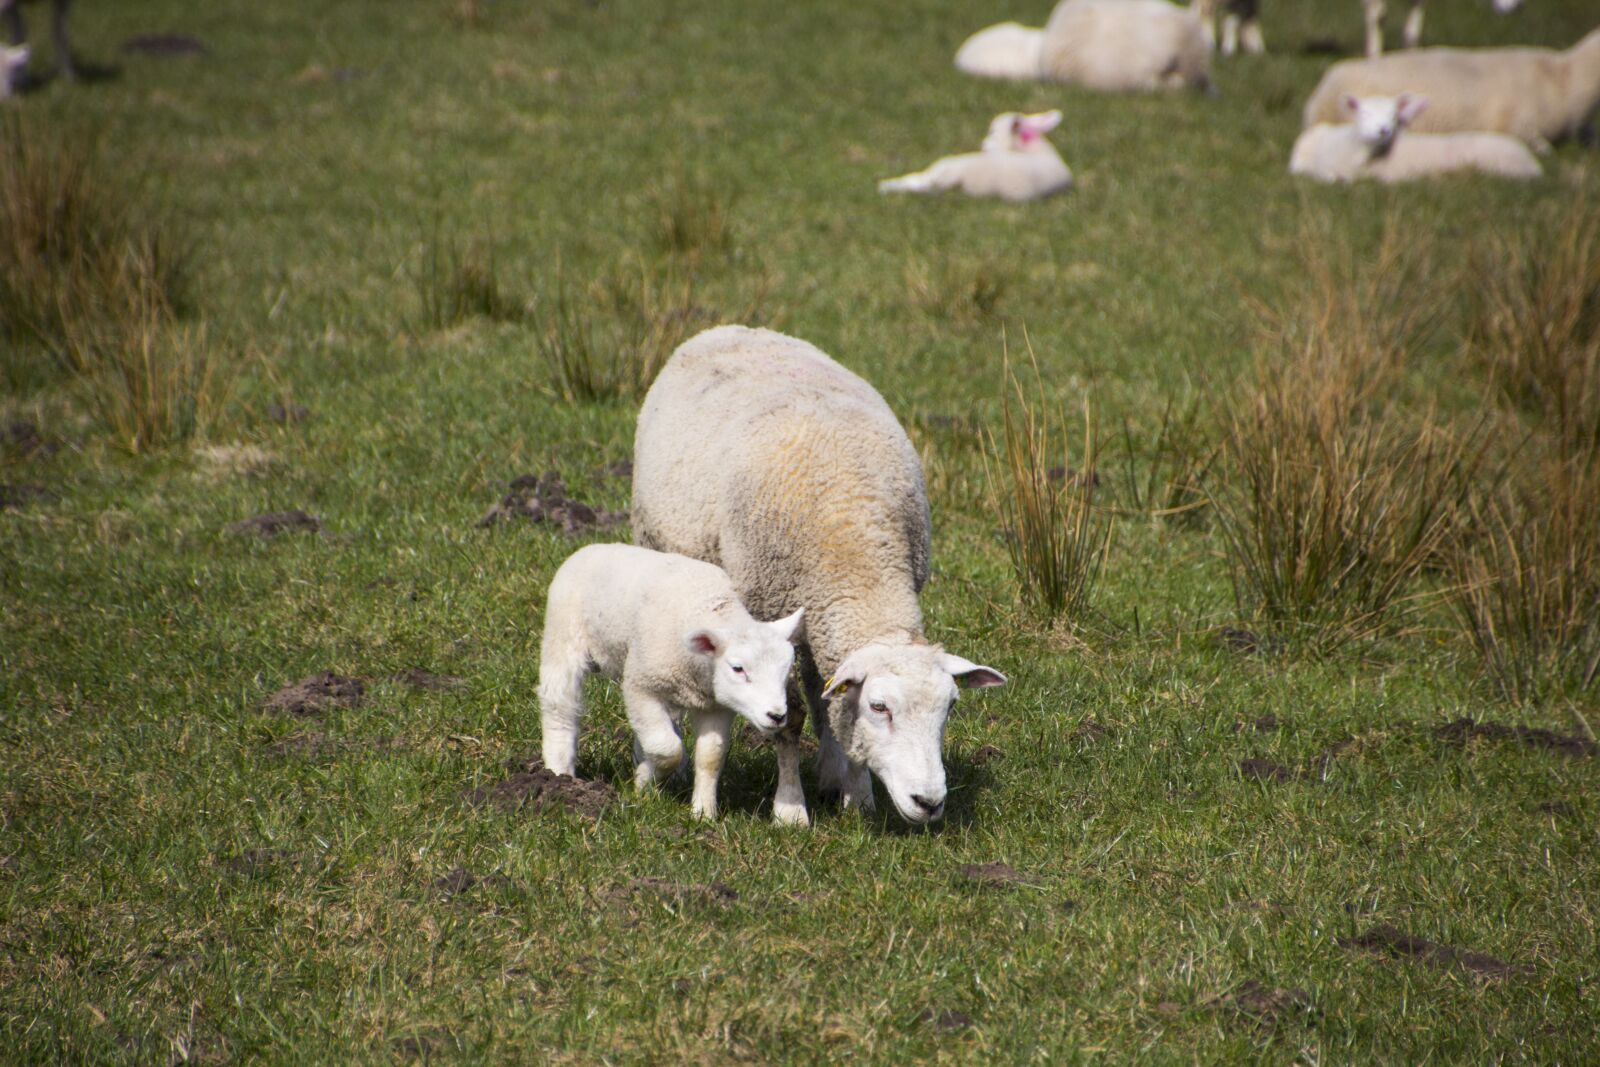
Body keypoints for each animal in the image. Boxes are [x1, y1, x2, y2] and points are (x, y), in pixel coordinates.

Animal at [538, 542, 804, 822]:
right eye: (738, 669)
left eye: (787, 670)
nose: (777, 716)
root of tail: (593, 547)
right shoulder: (641, 686)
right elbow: (667, 749)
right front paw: (644, 780)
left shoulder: (716, 706)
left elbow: (710, 757)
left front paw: (703, 813)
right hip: (563, 635)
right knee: (559, 705)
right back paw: (559, 773)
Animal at [632, 326, 1007, 828]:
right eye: (880, 707)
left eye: (949, 707)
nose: (929, 803)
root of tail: (730, 329)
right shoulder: (768, 621)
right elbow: (789, 720)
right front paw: (790, 809)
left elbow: (835, 703)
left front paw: (858, 796)